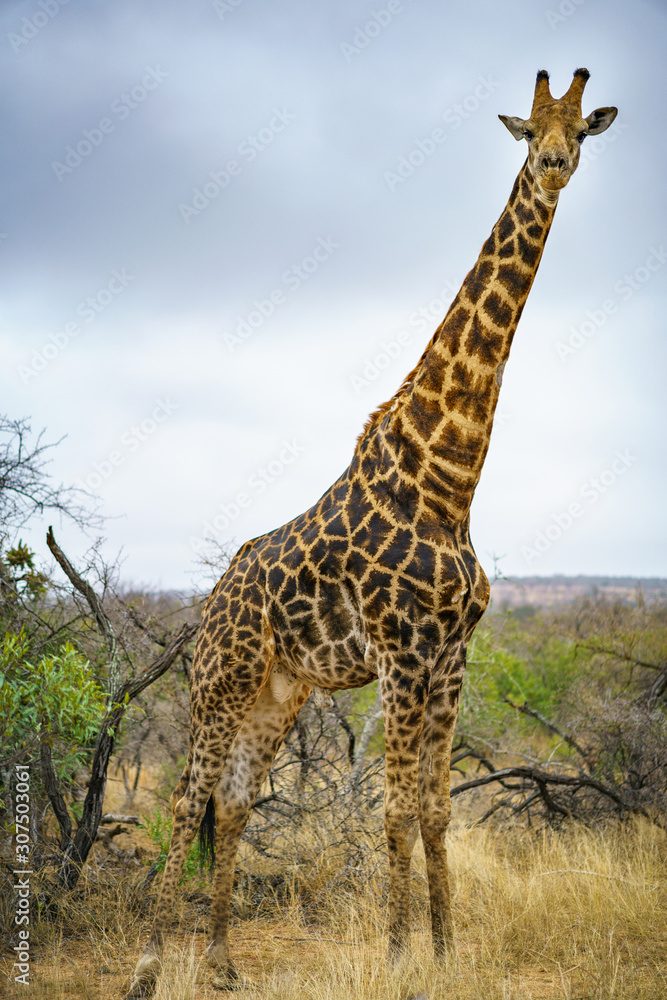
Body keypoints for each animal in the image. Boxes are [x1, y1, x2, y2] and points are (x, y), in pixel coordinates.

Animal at [124, 69, 617, 997]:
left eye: (582, 132)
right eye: (528, 128)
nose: (554, 165)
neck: (447, 481)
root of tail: (211, 598)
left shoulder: (451, 655)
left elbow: (434, 810)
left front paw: (447, 950)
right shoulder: (399, 651)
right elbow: (390, 810)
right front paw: (395, 955)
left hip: (279, 692)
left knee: (232, 800)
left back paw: (222, 962)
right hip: (219, 680)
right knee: (183, 796)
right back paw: (148, 964)